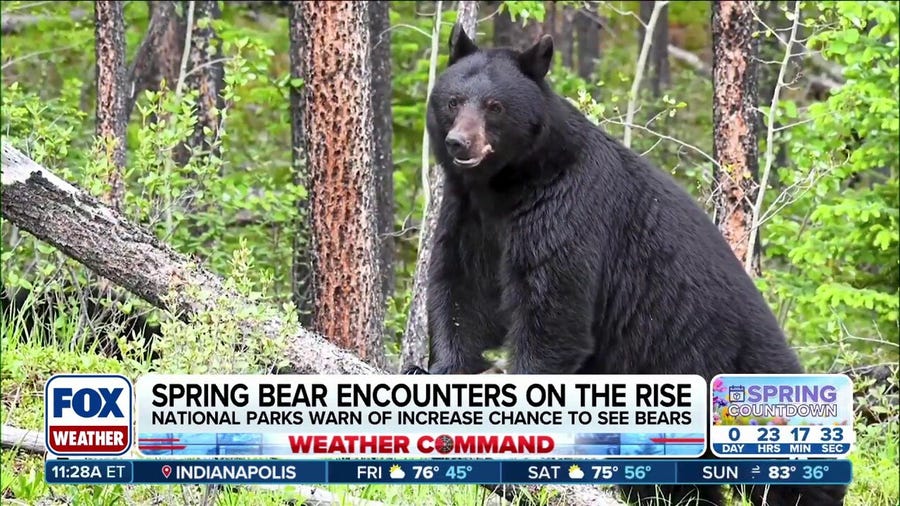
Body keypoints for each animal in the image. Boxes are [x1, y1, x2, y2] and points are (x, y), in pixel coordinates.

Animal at [404, 23, 847, 506]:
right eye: (452, 101)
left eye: (495, 106)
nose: (459, 143)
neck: (507, 184)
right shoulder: (470, 215)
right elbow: (463, 291)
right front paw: (433, 371)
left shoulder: (567, 209)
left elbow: (552, 310)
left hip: (727, 367)